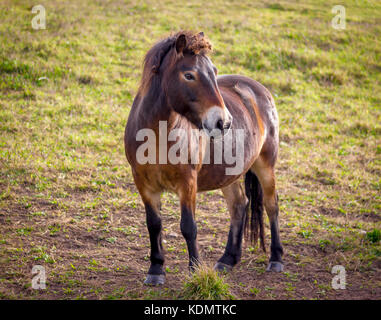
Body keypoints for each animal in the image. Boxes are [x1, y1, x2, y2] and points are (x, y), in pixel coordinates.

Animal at [124, 30, 282, 284]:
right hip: (229, 174)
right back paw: (228, 259)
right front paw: (156, 270)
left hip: (265, 166)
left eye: (214, 72)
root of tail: (259, 90)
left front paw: (195, 269)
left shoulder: (188, 183)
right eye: (189, 75)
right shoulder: (144, 184)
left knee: (271, 205)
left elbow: (189, 227)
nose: (223, 122)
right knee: (239, 205)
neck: (156, 136)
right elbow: (154, 225)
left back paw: (276, 259)